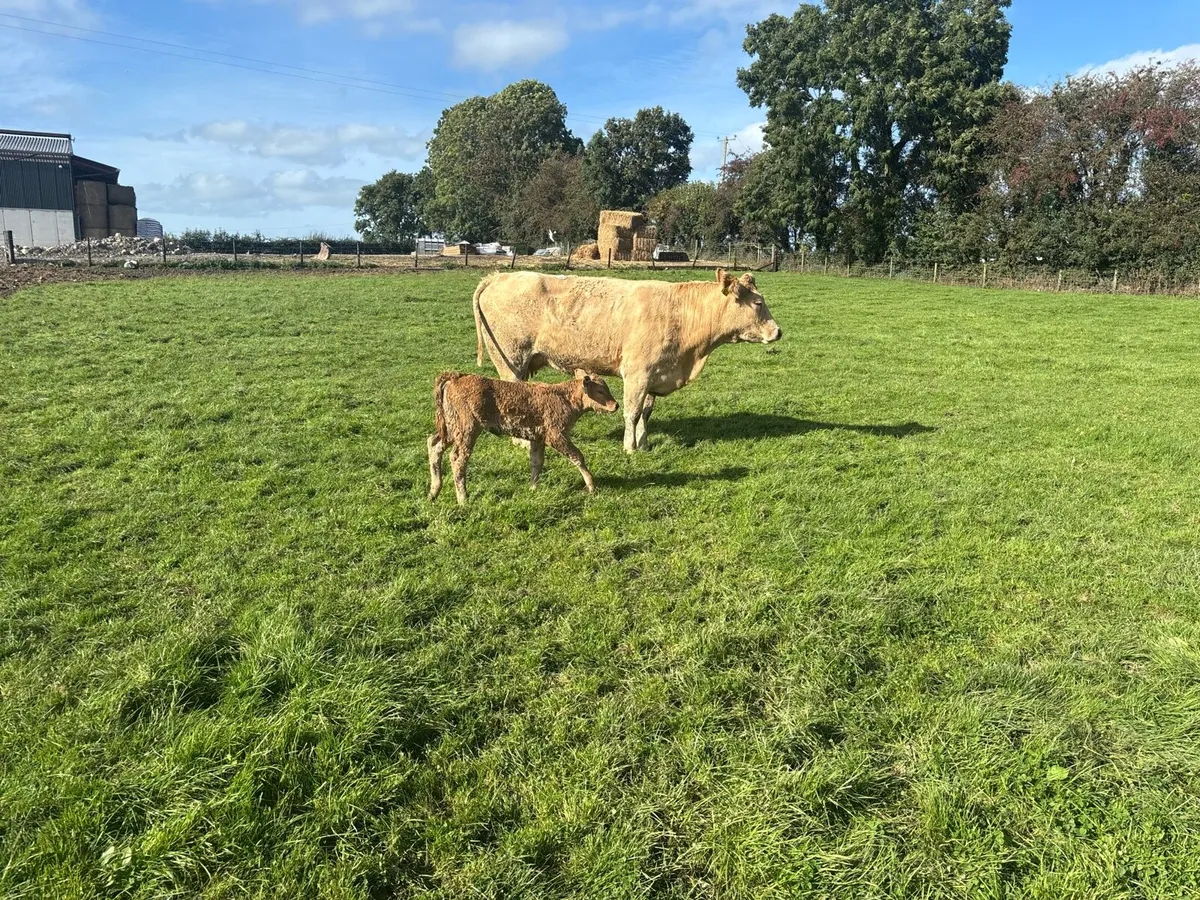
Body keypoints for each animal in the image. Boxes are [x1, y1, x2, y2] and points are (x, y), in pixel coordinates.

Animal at [428, 370, 619, 505]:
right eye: (600, 391)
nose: (616, 405)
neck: (563, 398)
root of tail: (456, 377)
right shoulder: (556, 435)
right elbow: (577, 456)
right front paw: (591, 486)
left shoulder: (537, 437)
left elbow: (536, 462)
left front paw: (533, 488)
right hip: (466, 429)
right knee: (458, 458)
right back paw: (463, 499)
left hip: (451, 428)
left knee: (434, 444)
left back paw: (434, 492)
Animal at [472, 268, 782, 452]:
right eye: (758, 303)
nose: (778, 331)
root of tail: (498, 276)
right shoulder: (636, 374)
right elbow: (631, 412)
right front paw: (629, 447)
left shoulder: (655, 375)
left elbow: (645, 412)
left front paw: (643, 444)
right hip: (510, 360)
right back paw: (522, 442)